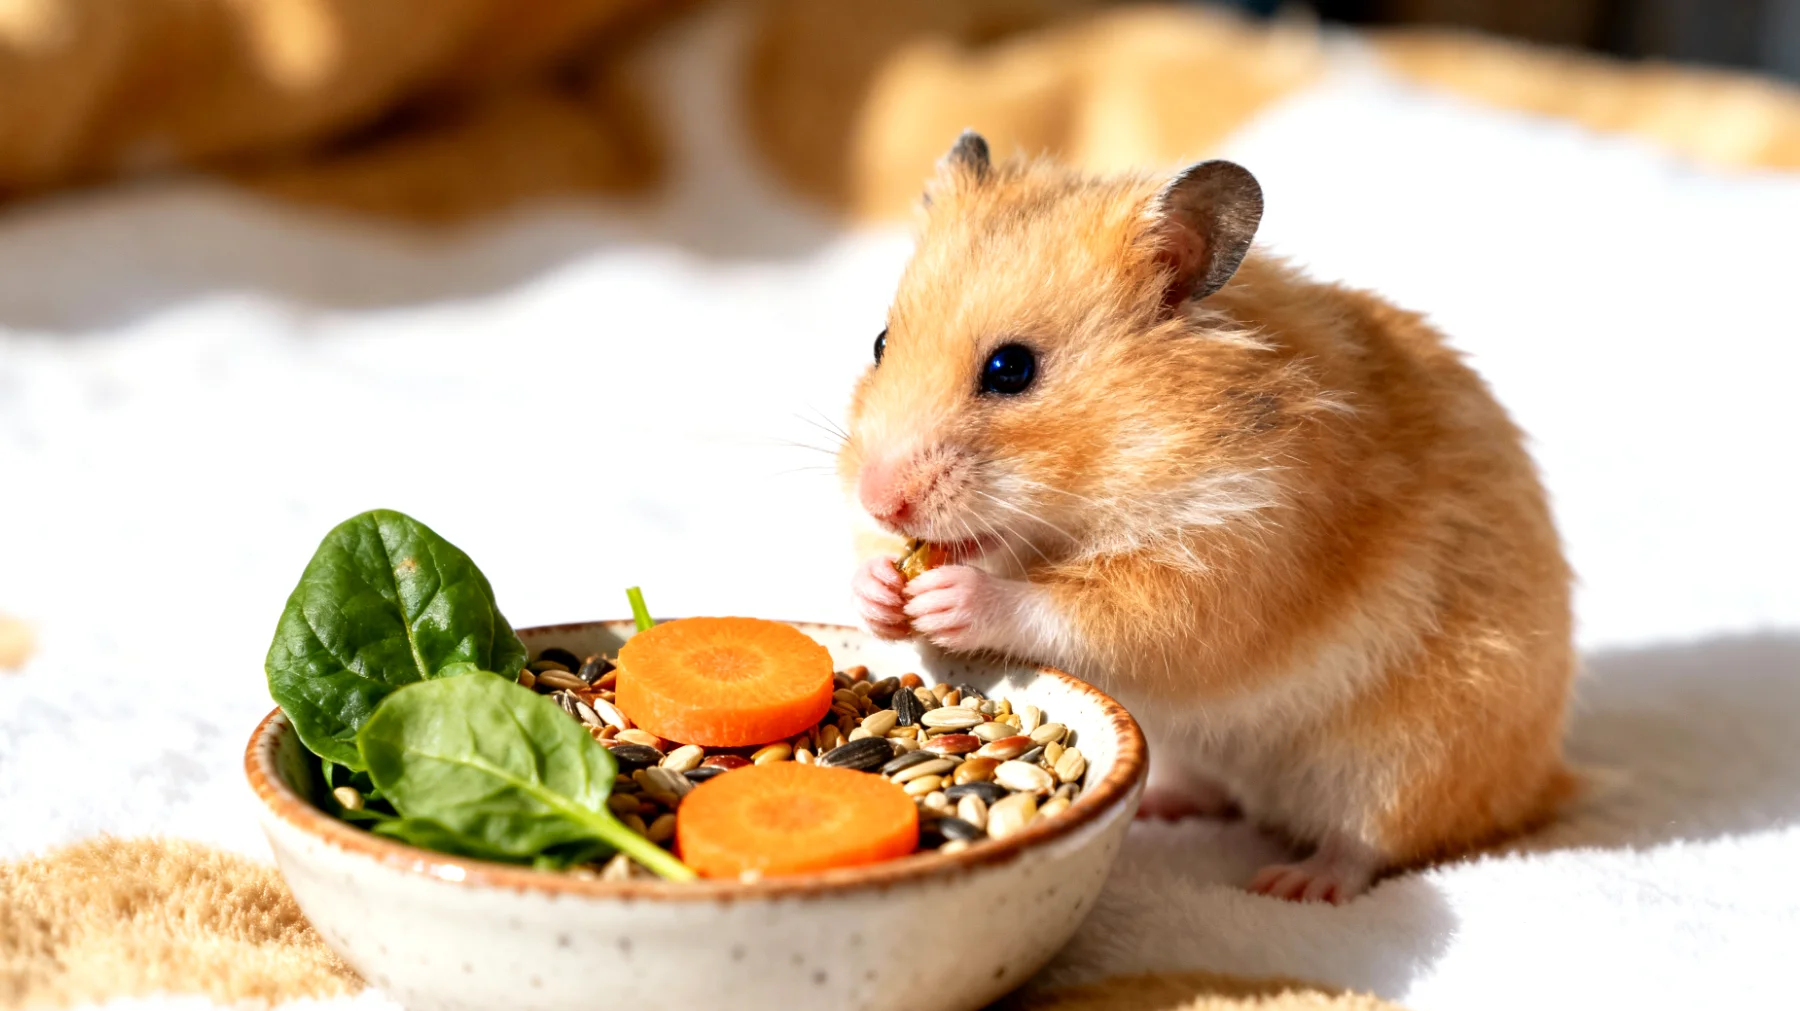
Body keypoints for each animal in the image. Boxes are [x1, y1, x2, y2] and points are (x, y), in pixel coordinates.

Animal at [839, 131, 1576, 903]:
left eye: (1011, 369)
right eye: (881, 344)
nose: (879, 498)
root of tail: (1544, 782)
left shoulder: (1228, 561)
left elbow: (1076, 610)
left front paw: (948, 597)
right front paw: (881, 591)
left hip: (1406, 757)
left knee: (1368, 842)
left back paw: (1295, 882)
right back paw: (1161, 806)